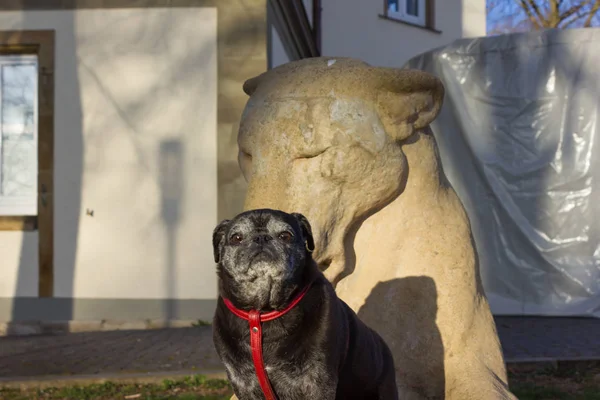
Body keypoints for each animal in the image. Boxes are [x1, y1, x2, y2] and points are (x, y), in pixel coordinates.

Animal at [211, 209, 398, 400]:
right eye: (236, 238)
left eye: (285, 235)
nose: (261, 237)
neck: (263, 312)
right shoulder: (244, 384)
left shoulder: (317, 382)